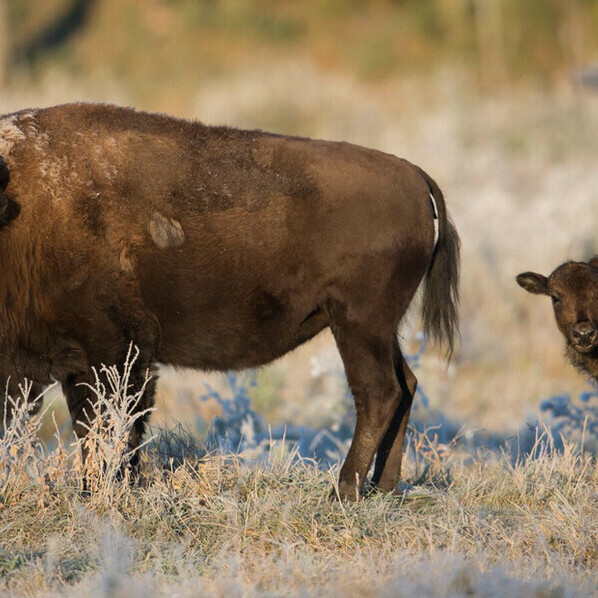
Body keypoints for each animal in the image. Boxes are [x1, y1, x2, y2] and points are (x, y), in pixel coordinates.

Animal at [0, 102, 462, 502]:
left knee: (379, 392)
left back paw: (343, 492)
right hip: (379, 330)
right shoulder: (87, 363)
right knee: (406, 386)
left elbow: (107, 426)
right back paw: (383, 488)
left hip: (359, 325)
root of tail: (416, 177)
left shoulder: (112, 353)